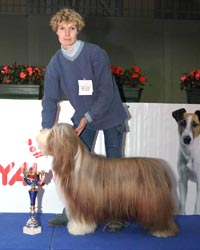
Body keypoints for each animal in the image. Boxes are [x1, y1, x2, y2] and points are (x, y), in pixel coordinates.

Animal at [37, 124, 178, 237]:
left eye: (52, 133)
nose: (41, 130)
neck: (73, 162)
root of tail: (161, 167)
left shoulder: (82, 200)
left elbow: (82, 217)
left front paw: (79, 229)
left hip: (153, 202)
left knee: (161, 216)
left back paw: (162, 231)